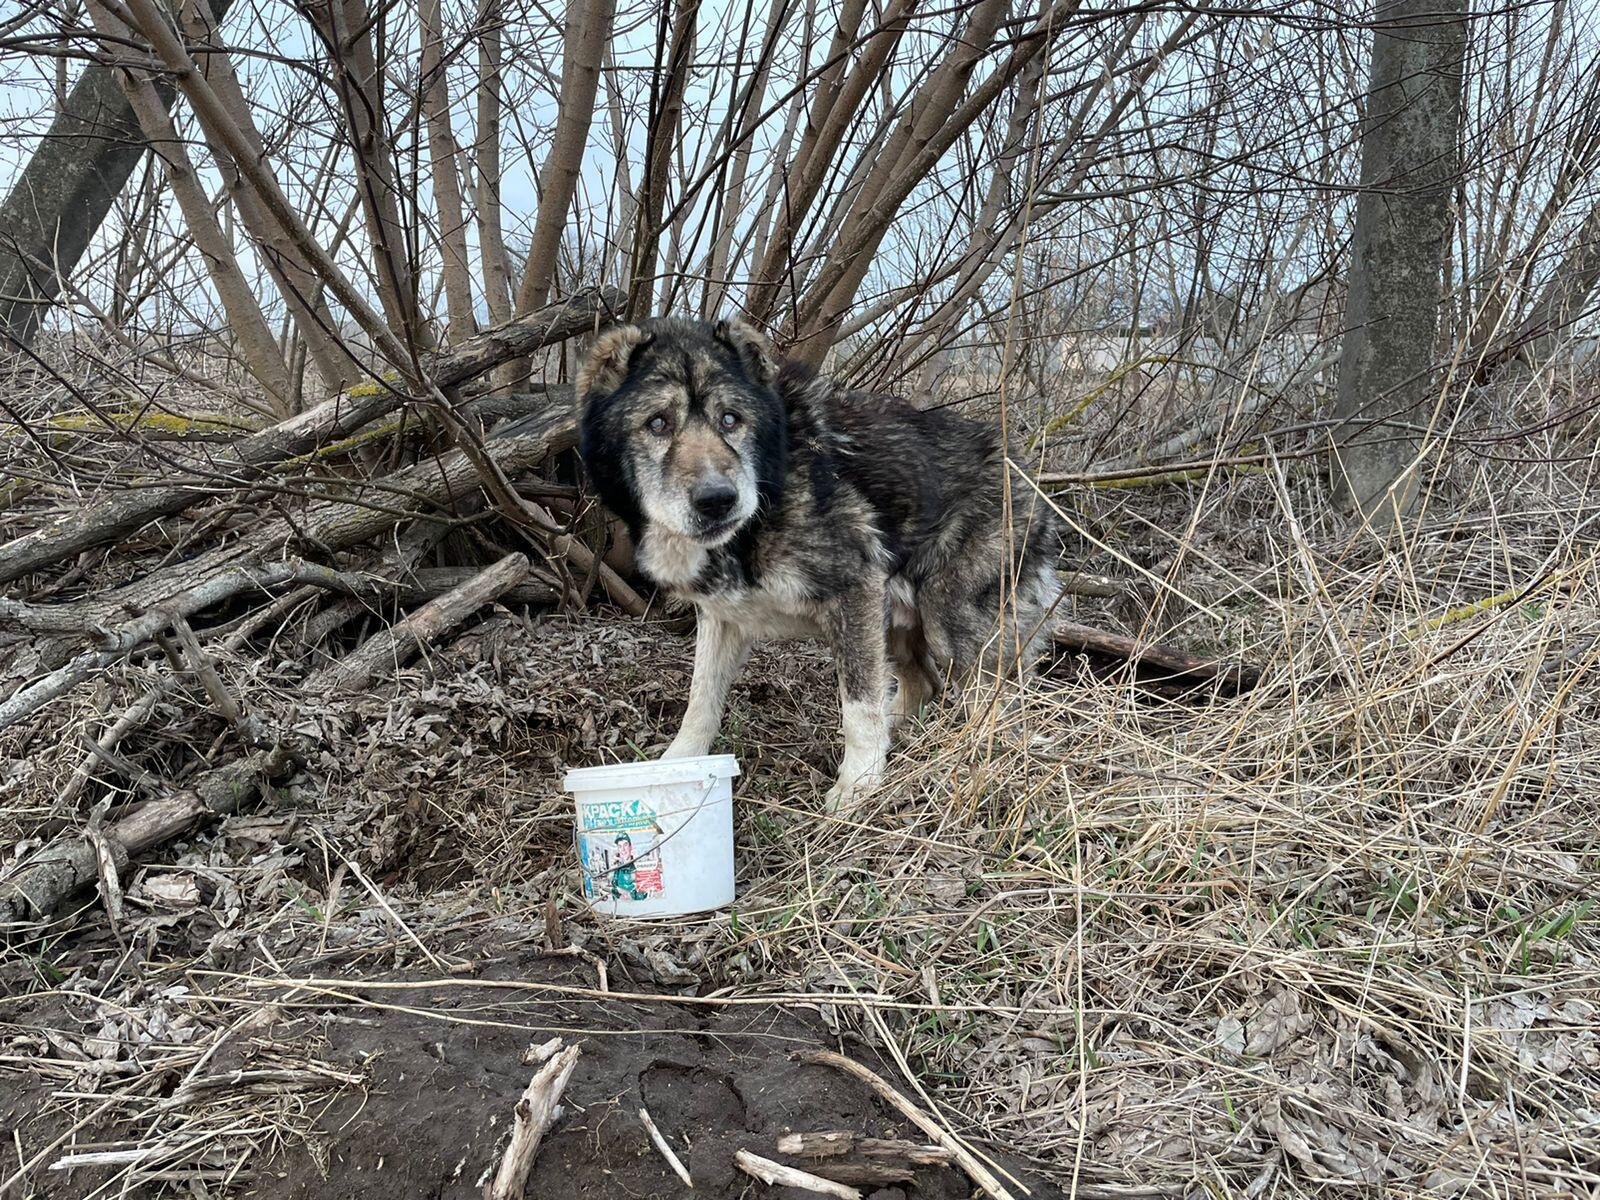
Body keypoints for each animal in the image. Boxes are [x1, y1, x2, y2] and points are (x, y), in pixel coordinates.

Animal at [576, 315, 1062, 812]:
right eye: (658, 423)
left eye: (731, 419)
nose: (717, 500)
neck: (768, 492)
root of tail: (1023, 469)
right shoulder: (722, 618)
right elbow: (701, 702)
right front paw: (675, 767)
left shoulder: (854, 593)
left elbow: (859, 708)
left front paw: (858, 787)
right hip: (897, 625)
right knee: (923, 684)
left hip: (950, 625)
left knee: (997, 703)